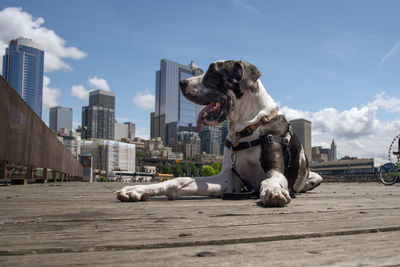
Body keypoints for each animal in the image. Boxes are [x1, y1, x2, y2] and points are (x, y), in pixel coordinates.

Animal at [115, 60, 322, 207]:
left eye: (213, 72)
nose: (182, 82)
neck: (247, 128)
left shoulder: (276, 172)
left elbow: (271, 181)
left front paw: (274, 191)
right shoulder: (228, 180)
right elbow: (179, 180)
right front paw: (138, 189)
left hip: (316, 177)